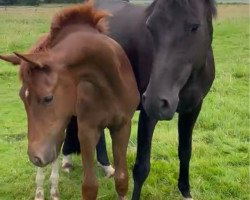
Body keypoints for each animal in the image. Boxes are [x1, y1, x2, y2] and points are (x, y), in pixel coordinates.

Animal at [0, 2, 140, 199]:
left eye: (48, 97)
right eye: (22, 97)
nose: (35, 157)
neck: (109, 85)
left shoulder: (122, 126)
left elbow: (121, 179)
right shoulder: (87, 130)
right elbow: (89, 187)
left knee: (54, 149)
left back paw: (54, 188)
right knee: (50, 157)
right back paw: (42, 190)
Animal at [63, 0, 217, 199]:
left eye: (194, 26)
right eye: (150, 27)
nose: (157, 101)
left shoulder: (192, 109)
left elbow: (185, 151)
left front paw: (185, 191)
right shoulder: (147, 114)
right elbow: (141, 167)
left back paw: (106, 166)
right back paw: (66, 160)